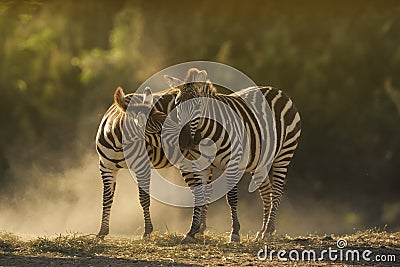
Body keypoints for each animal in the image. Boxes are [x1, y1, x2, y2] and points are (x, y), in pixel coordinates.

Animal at [164, 68, 302, 242]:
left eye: (198, 104)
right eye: (177, 104)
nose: (183, 140)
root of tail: (278, 90)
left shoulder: (232, 163)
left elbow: (231, 198)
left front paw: (235, 232)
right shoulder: (199, 164)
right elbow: (199, 195)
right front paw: (191, 231)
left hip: (284, 153)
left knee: (277, 190)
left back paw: (269, 230)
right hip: (260, 162)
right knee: (266, 192)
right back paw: (262, 231)